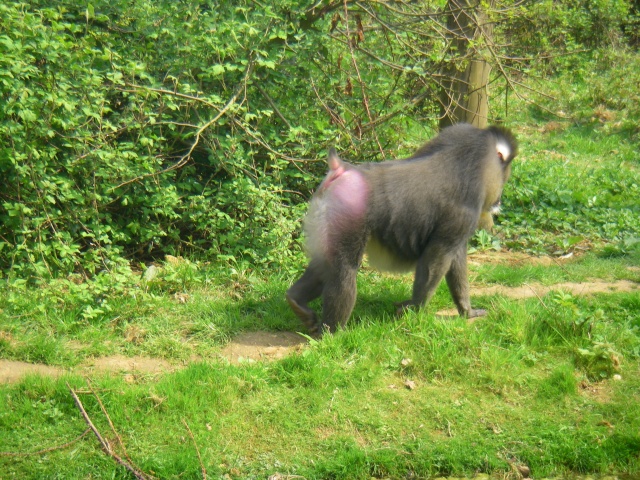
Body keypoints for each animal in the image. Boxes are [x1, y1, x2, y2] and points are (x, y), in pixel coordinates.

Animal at [288, 122, 516, 336]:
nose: (498, 200)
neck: (471, 158)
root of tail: (342, 169)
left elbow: (457, 265)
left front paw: (468, 312)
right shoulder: (460, 219)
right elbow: (436, 261)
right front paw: (414, 308)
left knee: (324, 263)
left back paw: (297, 303)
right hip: (348, 219)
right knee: (343, 269)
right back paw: (333, 333)